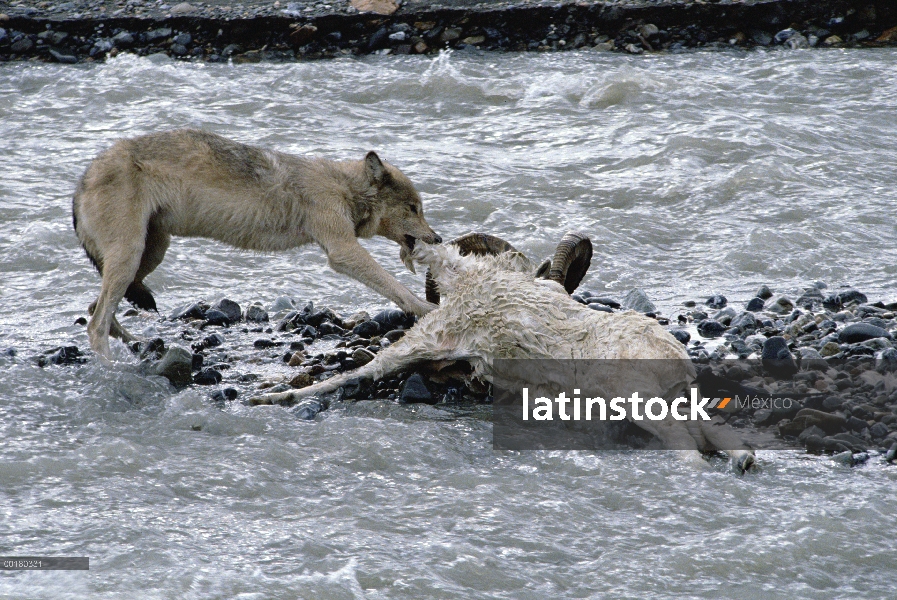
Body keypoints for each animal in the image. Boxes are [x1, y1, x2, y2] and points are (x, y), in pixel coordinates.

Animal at [72, 129, 442, 358]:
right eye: (414, 208)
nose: (437, 238)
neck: (344, 188)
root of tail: (82, 180)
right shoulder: (342, 251)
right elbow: (396, 287)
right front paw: (428, 310)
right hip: (131, 256)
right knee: (95, 325)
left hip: (150, 253)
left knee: (95, 309)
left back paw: (139, 345)